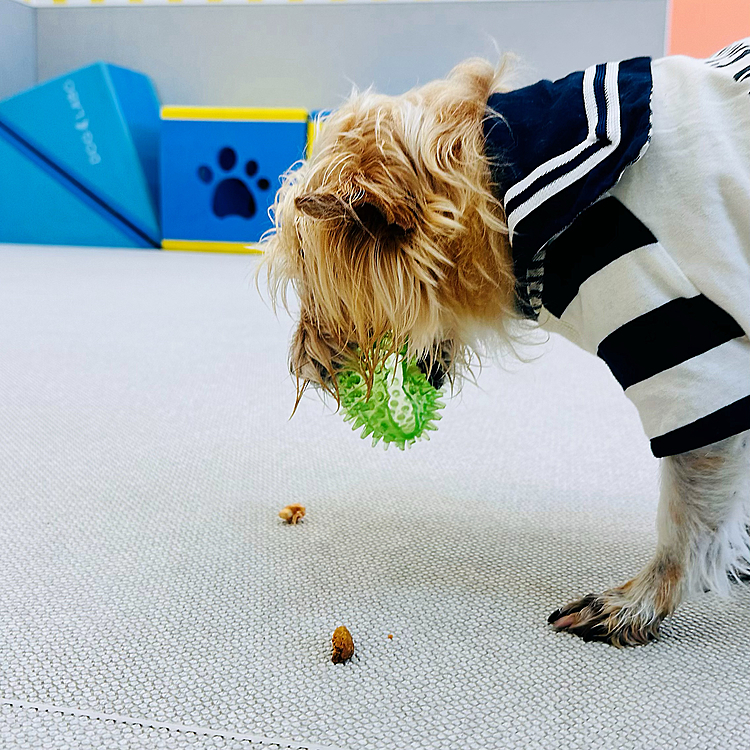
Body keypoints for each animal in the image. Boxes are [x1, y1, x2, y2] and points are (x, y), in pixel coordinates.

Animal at [262, 39, 750, 648]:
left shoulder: (678, 342)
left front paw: (639, 602)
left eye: (311, 283)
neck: (498, 179)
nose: (300, 367)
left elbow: (690, 513)